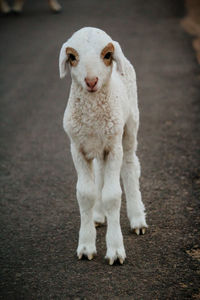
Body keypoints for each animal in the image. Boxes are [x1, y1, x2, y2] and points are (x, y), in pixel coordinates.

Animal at [58, 26, 148, 264]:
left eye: (106, 55)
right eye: (72, 57)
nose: (91, 81)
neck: (92, 115)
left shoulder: (114, 147)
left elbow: (112, 195)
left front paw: (115, 250)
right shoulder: (77, 148)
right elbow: (85, 194)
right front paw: (86, 246)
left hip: (129, 128)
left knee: (130, 166)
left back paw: (137, 219)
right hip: (98, 146)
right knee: (99, 172)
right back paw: (98, 216)